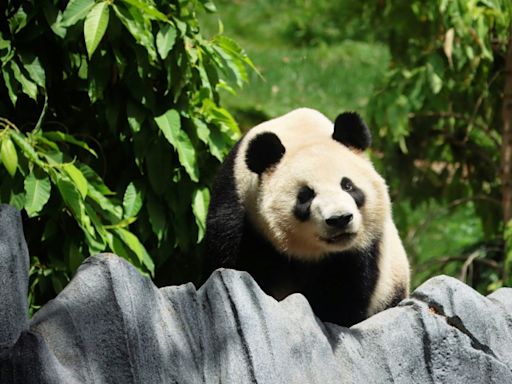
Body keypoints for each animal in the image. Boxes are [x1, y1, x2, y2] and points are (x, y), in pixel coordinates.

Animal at [203, 108, 408, 328]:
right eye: (306, 195)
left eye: (348, 185)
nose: (339, 219)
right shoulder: (238, 208)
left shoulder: (362, 251)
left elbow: (343, 298)